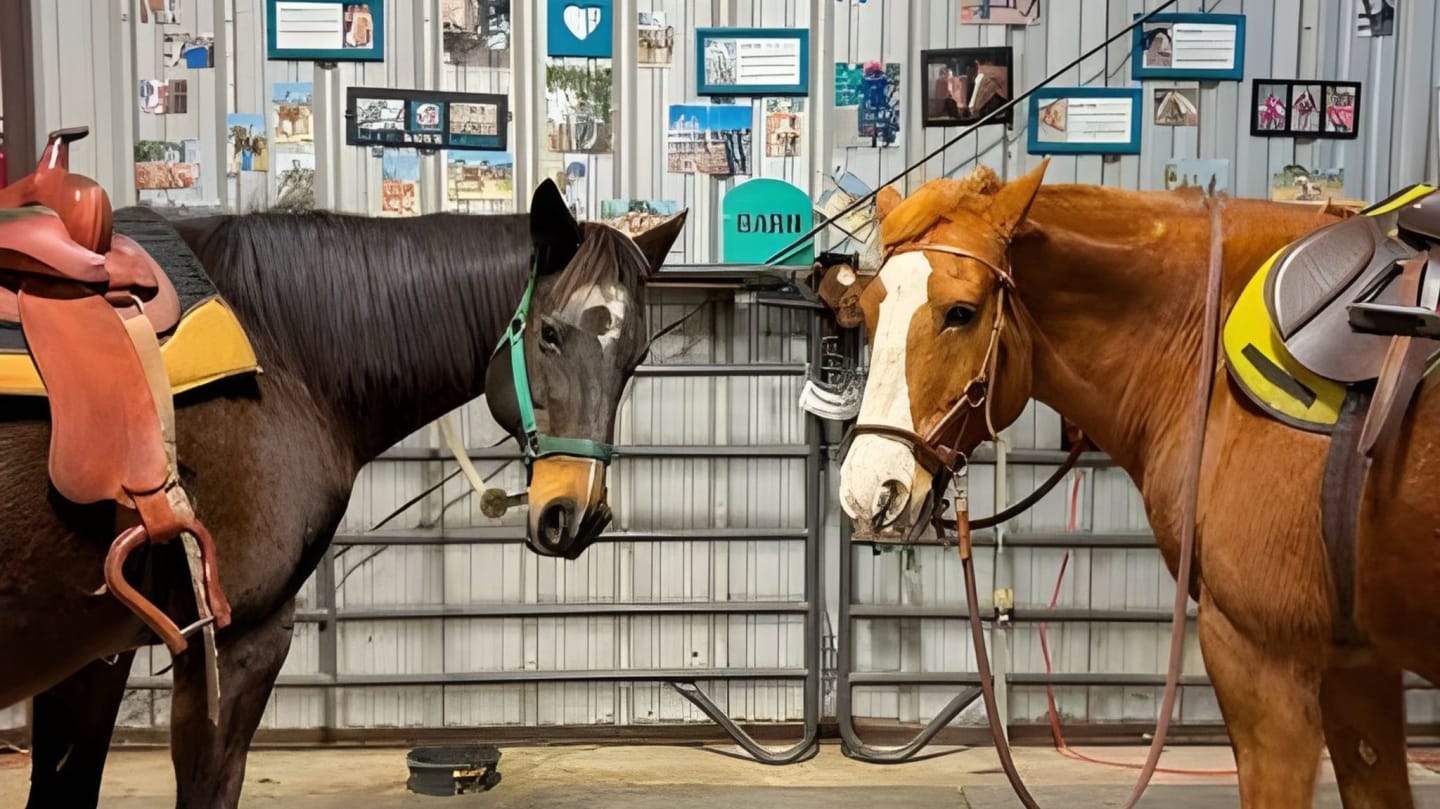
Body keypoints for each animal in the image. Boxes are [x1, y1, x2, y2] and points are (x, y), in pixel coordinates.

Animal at [1, 178, 687, 809]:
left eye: (637, 355)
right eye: (548, 334)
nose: (577, 514)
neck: (278, 351)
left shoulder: (93, 657)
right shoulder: (233, 646)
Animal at [832, 162, 1440, 807]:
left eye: (961, 312)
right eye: (869, 309)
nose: (867, 488)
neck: (1208, 360)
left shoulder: (1265, 661)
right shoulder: (1356, 666)